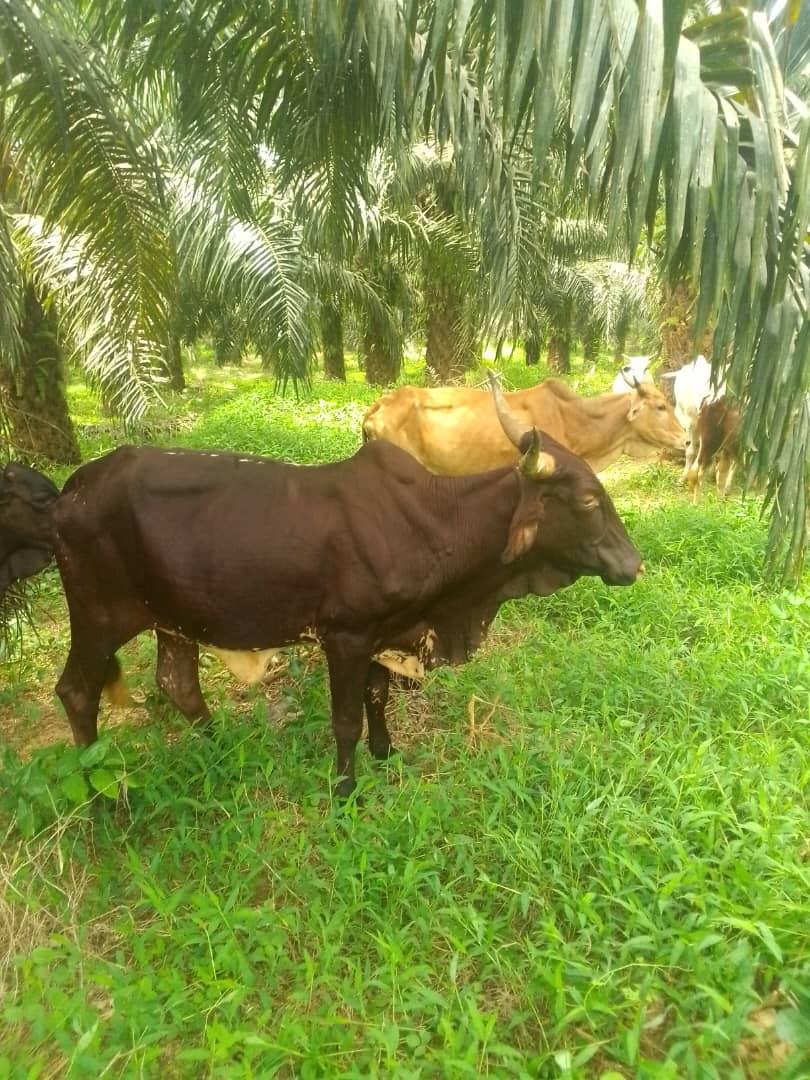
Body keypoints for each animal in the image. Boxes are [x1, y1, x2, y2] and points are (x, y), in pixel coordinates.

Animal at [0, 386, 642, 797]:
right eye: (589, 500)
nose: (633, 565)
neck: (435, 524)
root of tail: (67, 496)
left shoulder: (387, 633)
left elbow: (377, 698)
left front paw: (386, 755)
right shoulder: (347, 635)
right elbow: (346, 719)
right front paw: (345, 789)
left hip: (172, 617)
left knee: (177, 683)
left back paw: (218, 747)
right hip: (99, 615)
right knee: (76, 692)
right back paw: (97, 794)